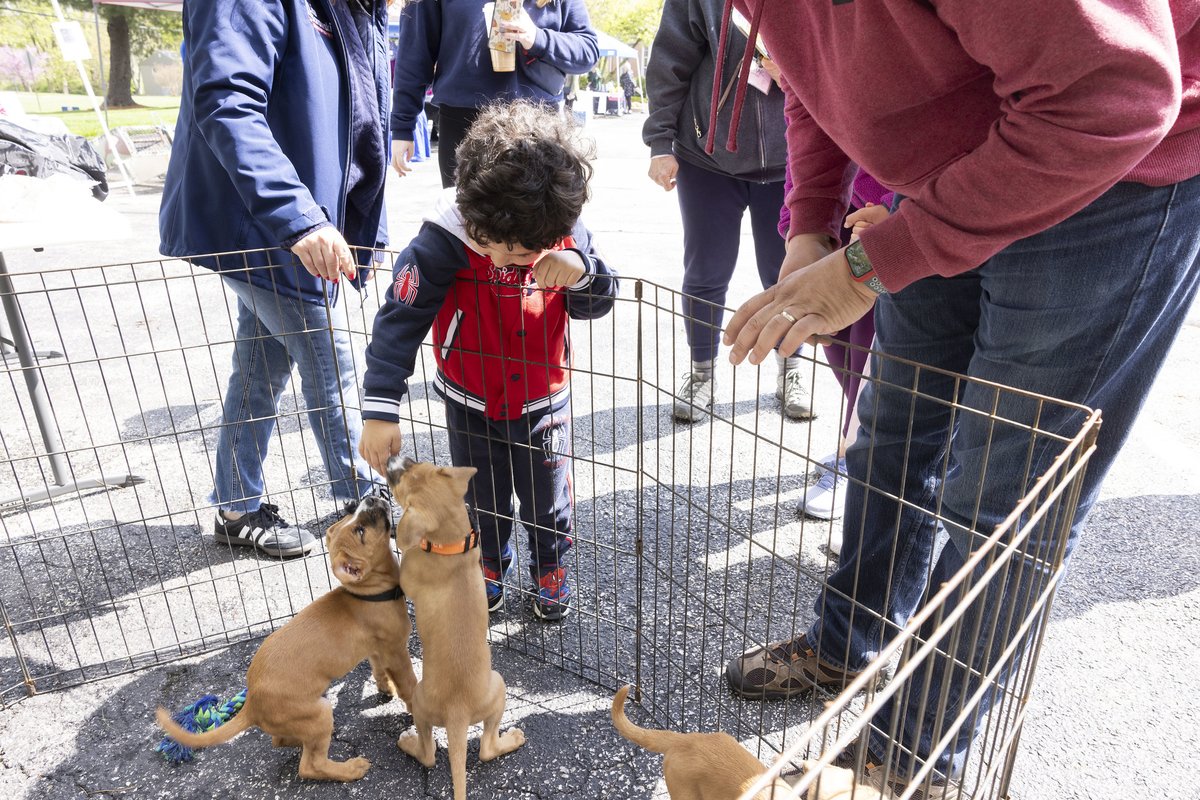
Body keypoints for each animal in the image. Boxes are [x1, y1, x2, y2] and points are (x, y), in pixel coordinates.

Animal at [154, 494, 417, 782]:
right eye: (360, 530)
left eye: (353, 517)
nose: (370, 497)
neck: (368, 593)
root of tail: (252, 704)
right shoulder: (396, 651)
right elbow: (409, 684)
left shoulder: (377, 649)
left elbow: (379, 671)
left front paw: (385, 689)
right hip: (318, 713)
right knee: (310, 765)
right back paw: (349, 768)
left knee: (280, 741)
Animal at [384, 455, 525, 800]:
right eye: (413, 463)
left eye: (400, 483)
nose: (392, 458)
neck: (450, 545)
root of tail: (456, 711)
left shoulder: (408, 575)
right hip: (491, 694)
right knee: (480, 749)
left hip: (435, 702)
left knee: (435, 753)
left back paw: (409, 742)